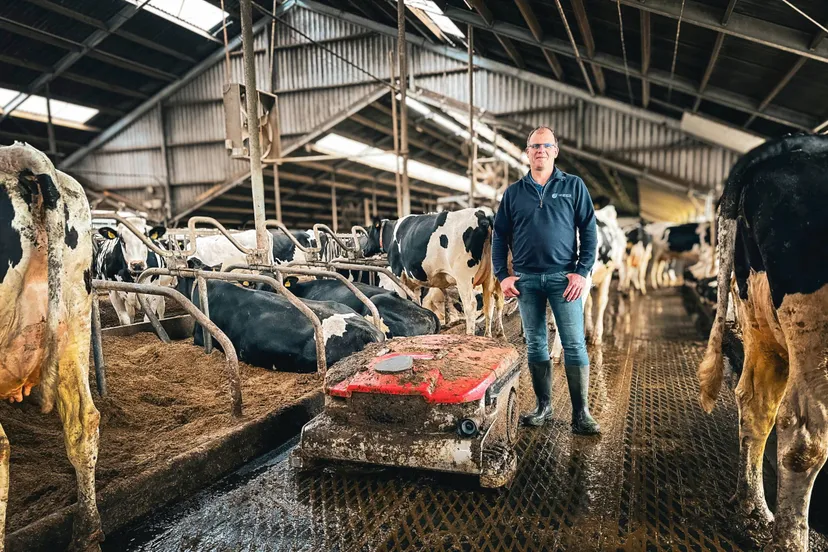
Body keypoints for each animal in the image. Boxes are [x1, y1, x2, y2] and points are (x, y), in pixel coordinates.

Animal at [700, 134, 828, 552]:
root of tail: (787, 143)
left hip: (759, 313)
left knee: (757, 405)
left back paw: (753, 511)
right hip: (813, 325)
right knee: (804, 435)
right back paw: (788, 539)